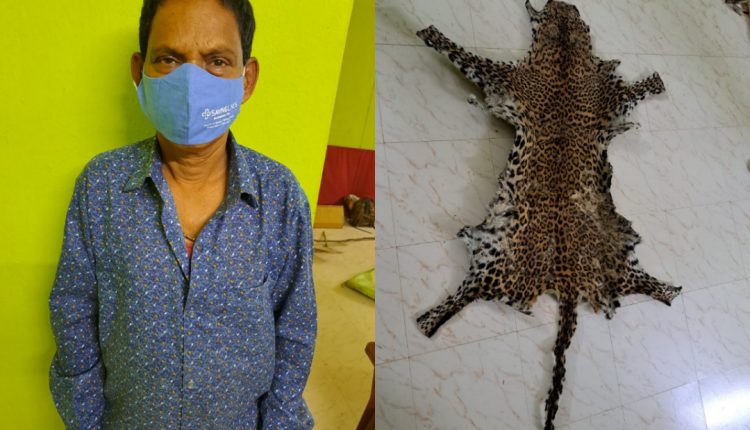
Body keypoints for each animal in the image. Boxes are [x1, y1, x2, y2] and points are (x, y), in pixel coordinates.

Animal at [413, 1, 680, 429]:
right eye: (578, 18)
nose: (565, 4)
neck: (567, 59)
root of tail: (568, 282)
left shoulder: (505, 77)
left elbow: (460, 53)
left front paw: (428, 30)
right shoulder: (610, 95)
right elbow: (637, 88)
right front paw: (657, 80)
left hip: (493, 258)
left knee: (468, 290)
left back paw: (430, 319)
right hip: (614, 259)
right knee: (642, 281)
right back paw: (669, 288)